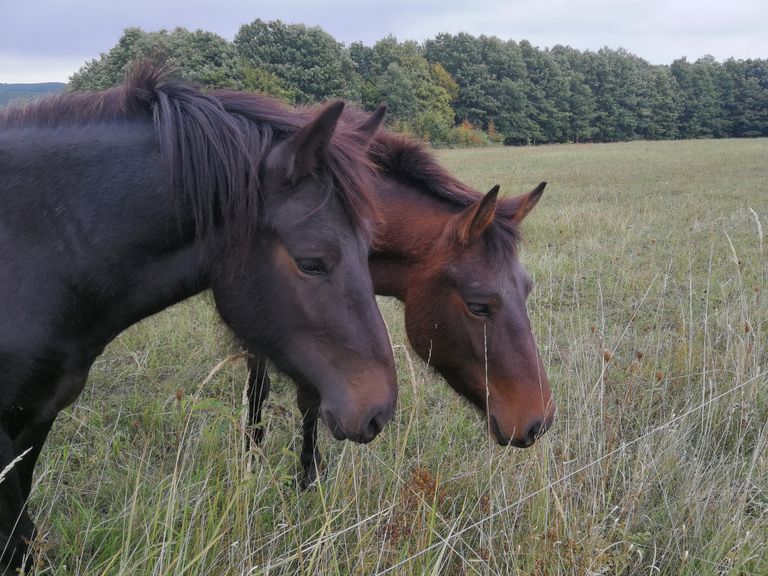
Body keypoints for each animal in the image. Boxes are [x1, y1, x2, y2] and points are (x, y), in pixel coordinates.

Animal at [227, 104, 556, 486]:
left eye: (527, 288)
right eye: (478, 306)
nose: (539, 422)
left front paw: (307, 471)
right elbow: (260, 388)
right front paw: (255, 454)